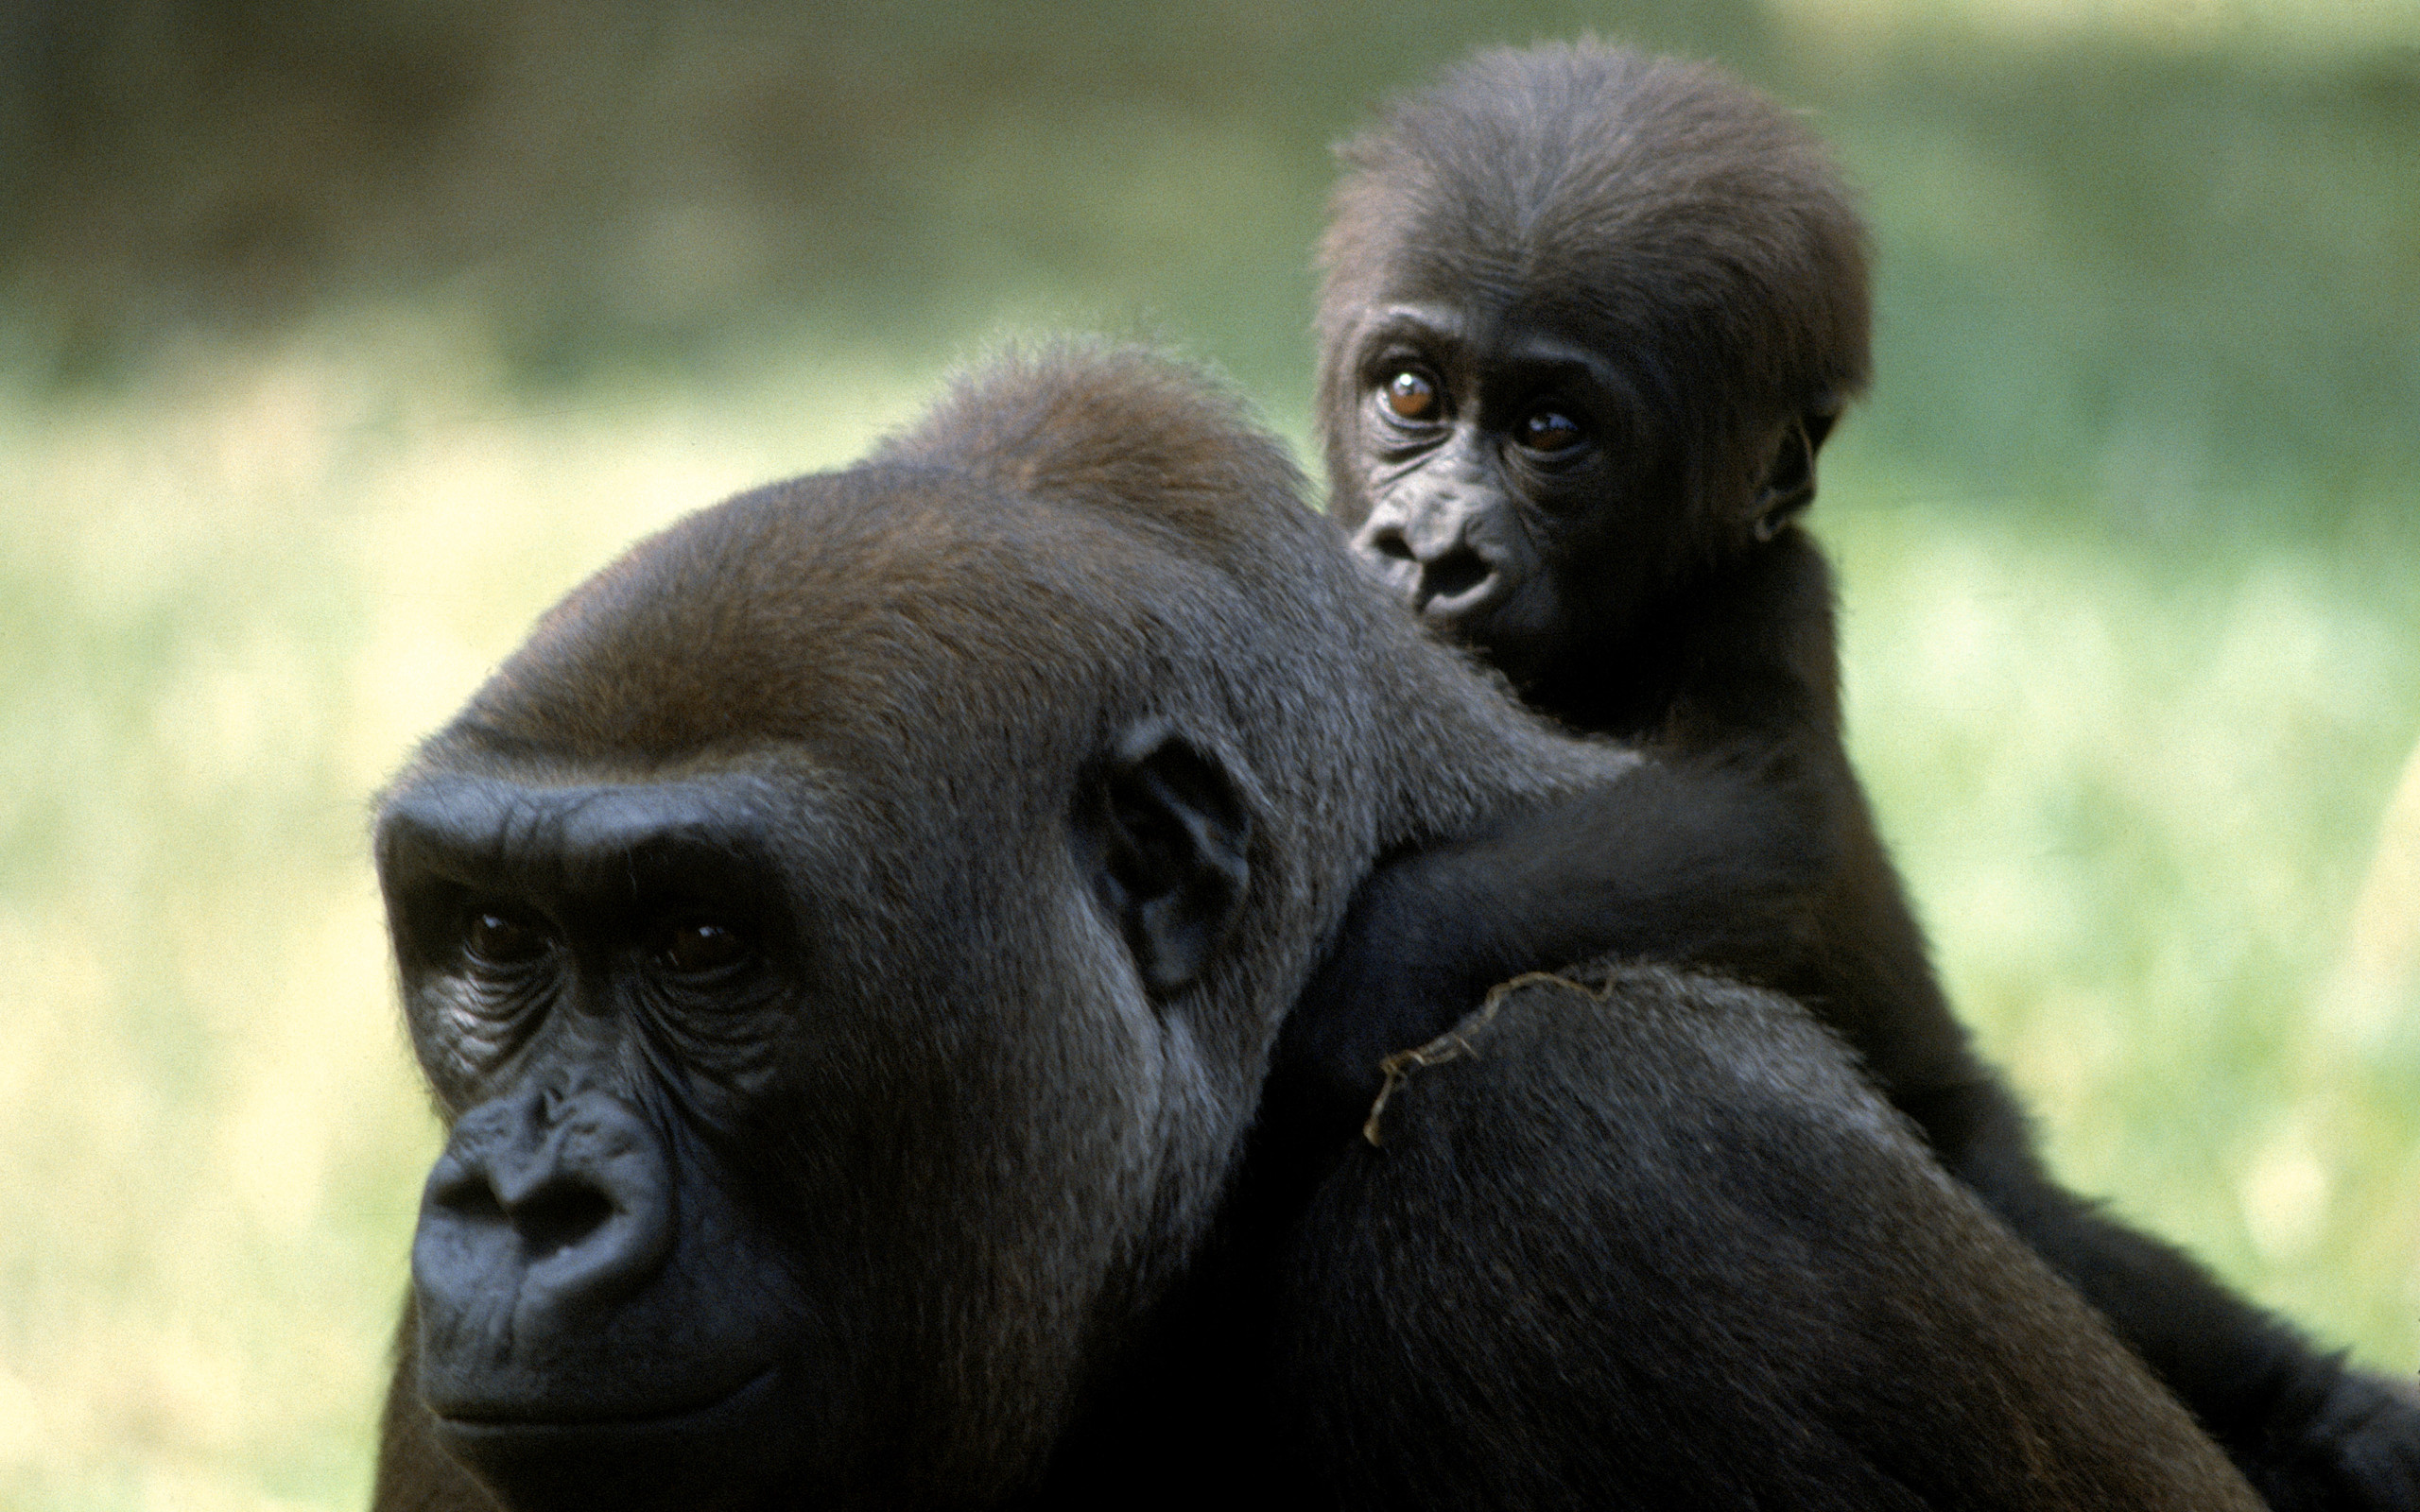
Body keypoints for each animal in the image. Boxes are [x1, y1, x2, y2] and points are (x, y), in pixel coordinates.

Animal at [1283, 39, 2420, 1508]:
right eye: (1412, 396)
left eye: (1550, 430)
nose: (1431, 551)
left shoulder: (1772, 588)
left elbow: (1766, 820)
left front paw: (1367, 969)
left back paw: (2329, 1412)